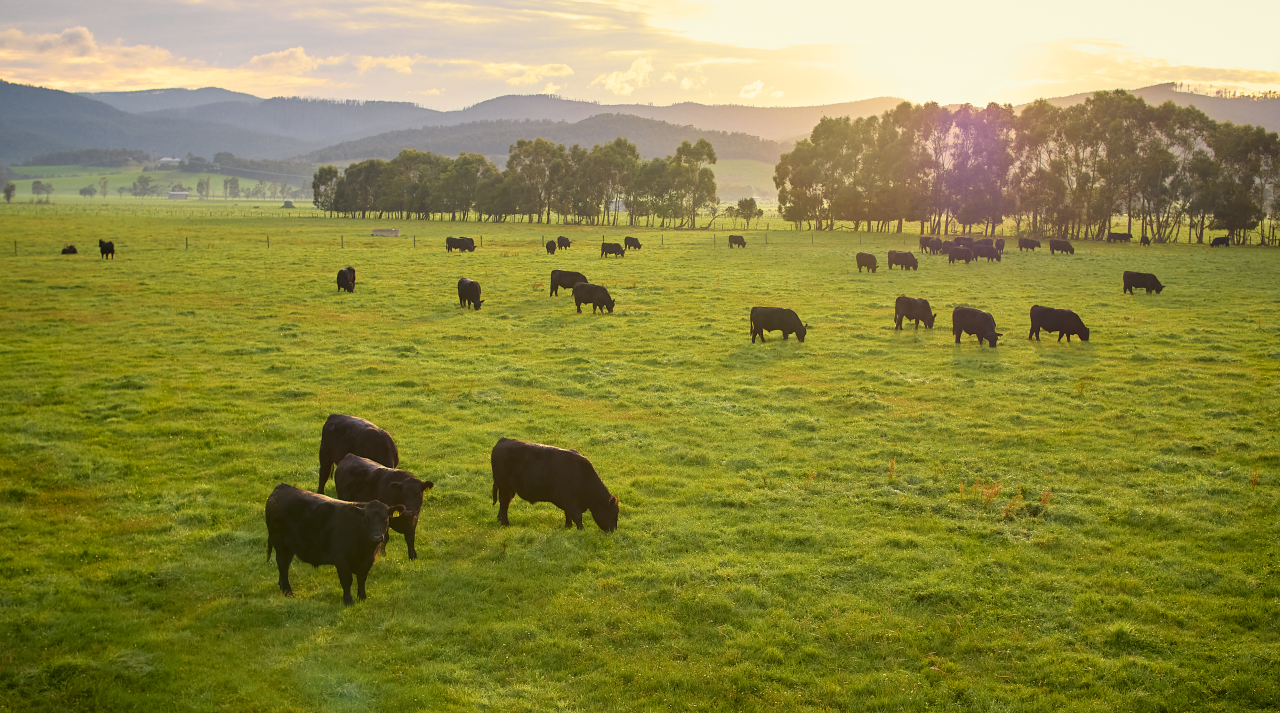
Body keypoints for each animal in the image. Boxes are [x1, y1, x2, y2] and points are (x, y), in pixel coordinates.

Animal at [259, 481, 399, 604]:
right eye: (367, 518)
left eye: (385, 518)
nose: (376, 537)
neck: (364, 549)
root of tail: (282, 487)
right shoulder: (341, 559)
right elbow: (347, 580)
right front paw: (348, 601)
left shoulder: (367, 561)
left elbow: (361, 578)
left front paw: (362, 598)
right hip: (281, 545)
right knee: (283, 566)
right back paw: (288, 592)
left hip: (288, 548)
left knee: (284, 566)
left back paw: (283, 588)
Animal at [488, 435, 619, 529]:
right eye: (613, 513)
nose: (613, 530)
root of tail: (503, 440)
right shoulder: (569, 500)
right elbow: (577, 516)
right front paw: (581, 530)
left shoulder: (567, 502)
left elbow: (568, 514)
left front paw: (568, 526)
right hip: (504, 487)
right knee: (504, 504)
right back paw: (505, 524)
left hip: (509, 489)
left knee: (505, 503)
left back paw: (500, 520)